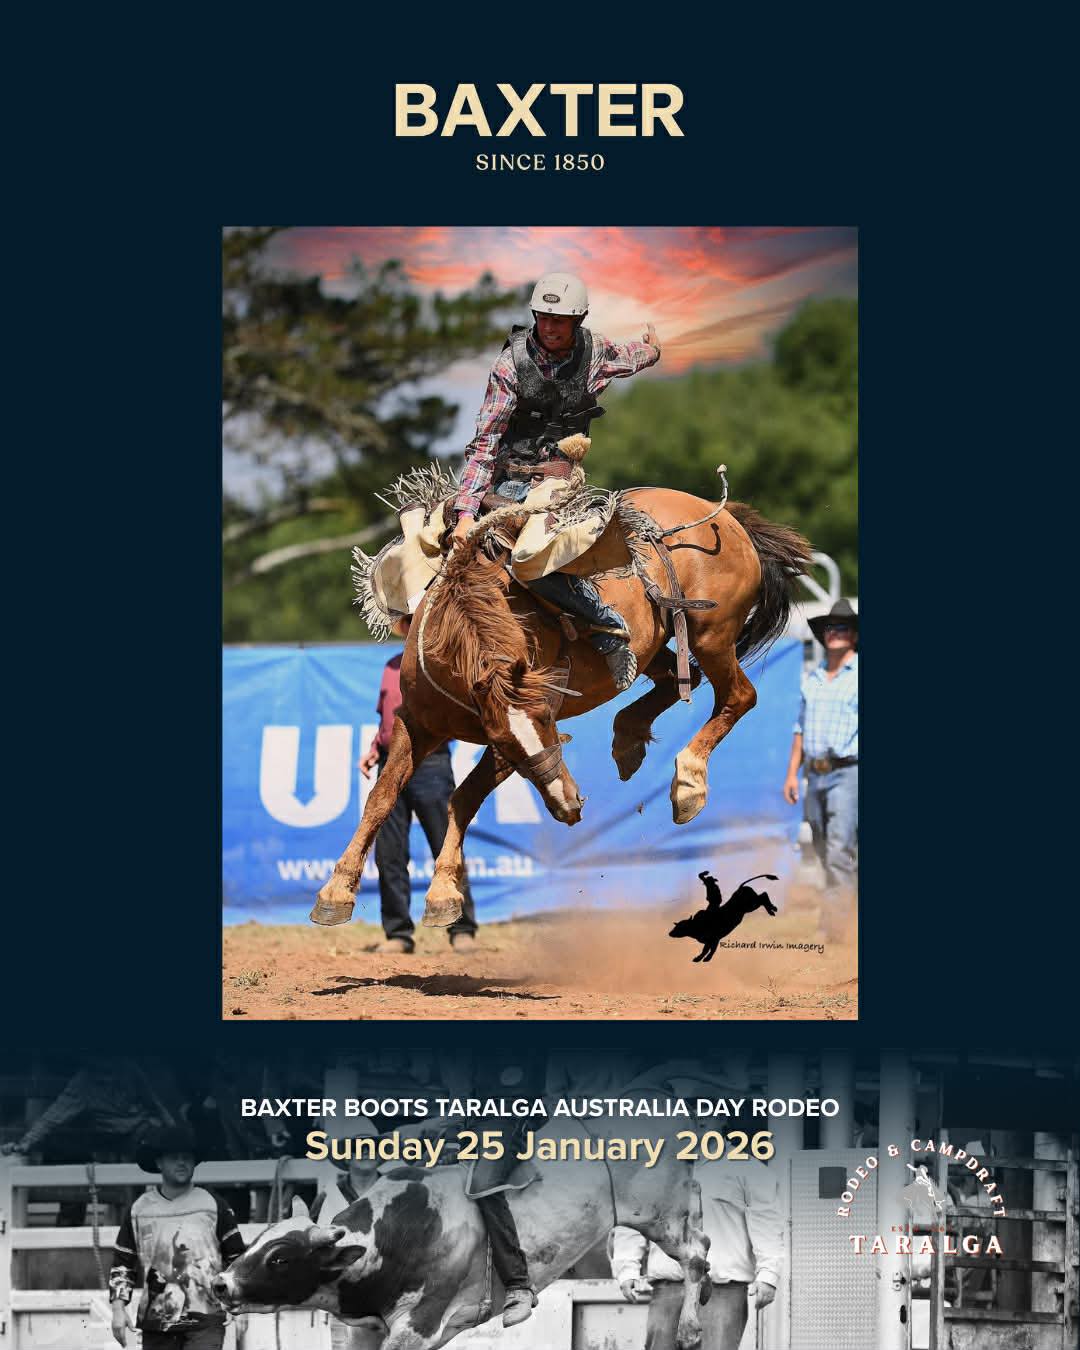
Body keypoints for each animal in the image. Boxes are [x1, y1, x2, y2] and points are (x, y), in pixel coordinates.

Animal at [213, 1117, 710, 1350]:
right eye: (252, 1243)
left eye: (279, 1257)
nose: (220, 1284)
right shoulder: (368, 1331)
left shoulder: (417, 1325)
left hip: (661, 1216)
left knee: (697, 1255)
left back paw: (689, 1329)